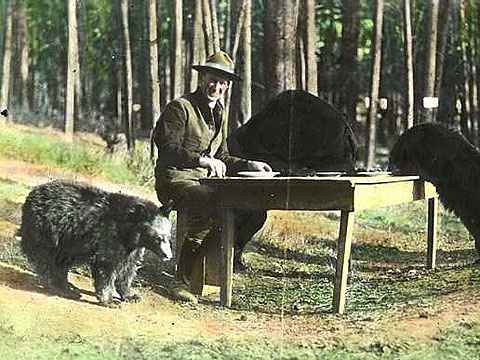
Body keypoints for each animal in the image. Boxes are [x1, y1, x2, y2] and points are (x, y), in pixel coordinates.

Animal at [21, 180, 174, 306]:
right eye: (158, 238)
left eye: (169, 237)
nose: (168, 256)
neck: (130, 232)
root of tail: (30, 196)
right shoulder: (109, 234)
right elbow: (106, 264)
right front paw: (110, 301)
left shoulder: (133, 247)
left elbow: (128, 268)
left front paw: (131, 296)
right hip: (52, 230)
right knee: (50, 260)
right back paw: (63, 287)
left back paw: (68, 286)